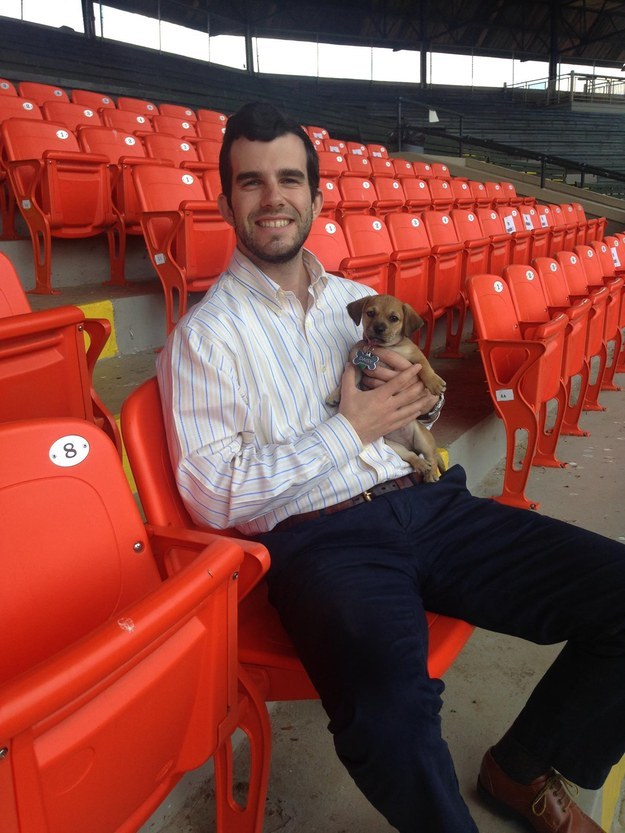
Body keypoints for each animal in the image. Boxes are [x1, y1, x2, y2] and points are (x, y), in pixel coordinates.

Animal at [330, 298, 446, 480]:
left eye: (394, 318)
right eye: (370, 313)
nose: (379, 328)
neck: (382, 348)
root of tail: (409, 444)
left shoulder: (416, 356)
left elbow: (424, 368)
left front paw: (434, 382)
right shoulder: (357, 369)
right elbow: (343, 382)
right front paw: (334, 395)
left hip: (422, 439)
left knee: (432, 457)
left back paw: (432, 474)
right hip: (394, 446)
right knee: (412, 456)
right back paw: (421, 465)